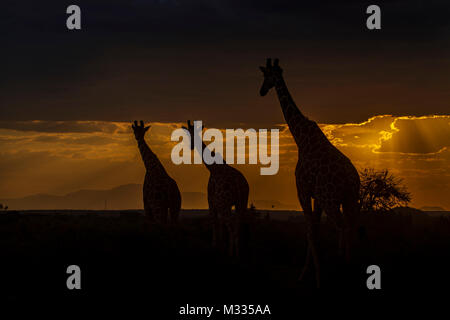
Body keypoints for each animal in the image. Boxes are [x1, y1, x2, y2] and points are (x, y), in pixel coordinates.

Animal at [183, 120, 250, 258]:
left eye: (191, 134)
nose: (191, 146)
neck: (212, 167)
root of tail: (238, 185)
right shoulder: (224, 204)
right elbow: (220, 224)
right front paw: (221, 246)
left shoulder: (212, 201)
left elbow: (214, 222)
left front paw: (215, 246)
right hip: (241, 204)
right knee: (237, 227)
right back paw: (236, 254)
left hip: (225, 204)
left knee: (231, 226)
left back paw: (230, 253)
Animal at [258, 58, 360, 288]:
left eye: (266, 76)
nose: (261, 91)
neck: (301, 138)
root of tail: (352, 180)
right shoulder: (316, 196)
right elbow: (316, 230)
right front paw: (311, 273)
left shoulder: (303, 190)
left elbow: (310, 231)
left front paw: (312, 276)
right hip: (350, 199)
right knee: (353, 227)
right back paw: (350, 268)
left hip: (332, 200)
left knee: (343, 227)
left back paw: (341, 269)